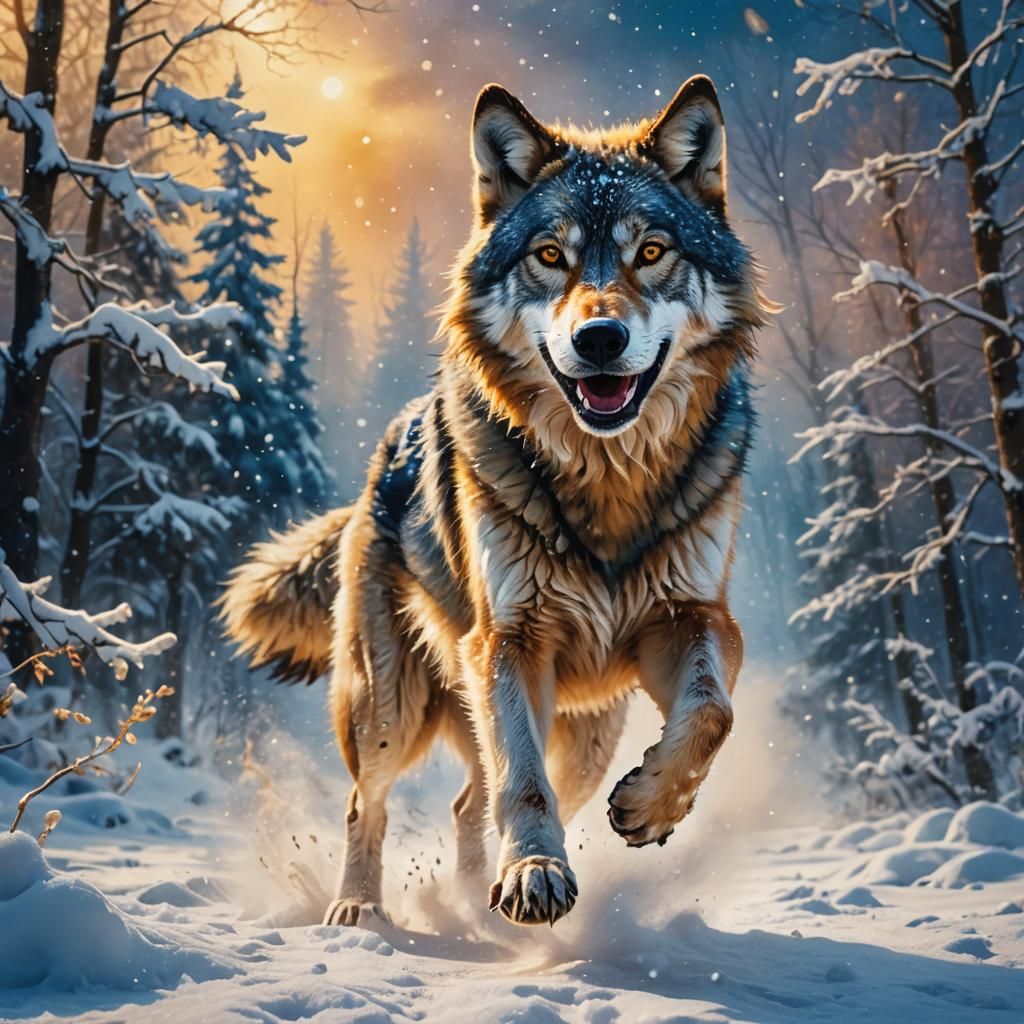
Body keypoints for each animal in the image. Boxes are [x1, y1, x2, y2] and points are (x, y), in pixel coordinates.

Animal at [221, 74, 774, 928]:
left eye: (651, 252)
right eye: (551, 256)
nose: (601, 340)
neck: (606, 481)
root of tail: (383, 455)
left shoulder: (692, 619)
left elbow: (714, 713)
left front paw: (651, 806)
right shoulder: (509, 641)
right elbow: (520, 781)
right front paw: (536, 874)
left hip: (586, 734)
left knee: (470, 803)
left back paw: (479, 900)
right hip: (391, 709)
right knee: (372, 802)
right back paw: (358, 909)